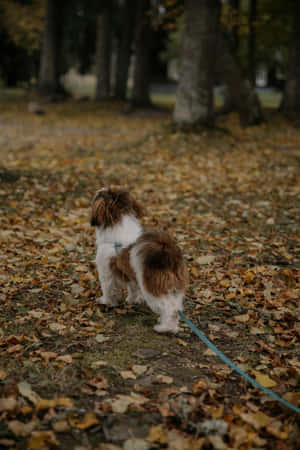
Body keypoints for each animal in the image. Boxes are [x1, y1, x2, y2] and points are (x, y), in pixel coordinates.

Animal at [91, 187, 190, 334]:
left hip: (152, 288)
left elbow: (108, 288)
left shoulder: (106, 272)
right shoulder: (132, 277)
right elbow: (133, 289)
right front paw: (133, 300)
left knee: (170, 309)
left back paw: (164, 328)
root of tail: (166, 252)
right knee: (176, 307)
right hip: (176, 286)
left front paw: (106, 301)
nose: (99, 189)